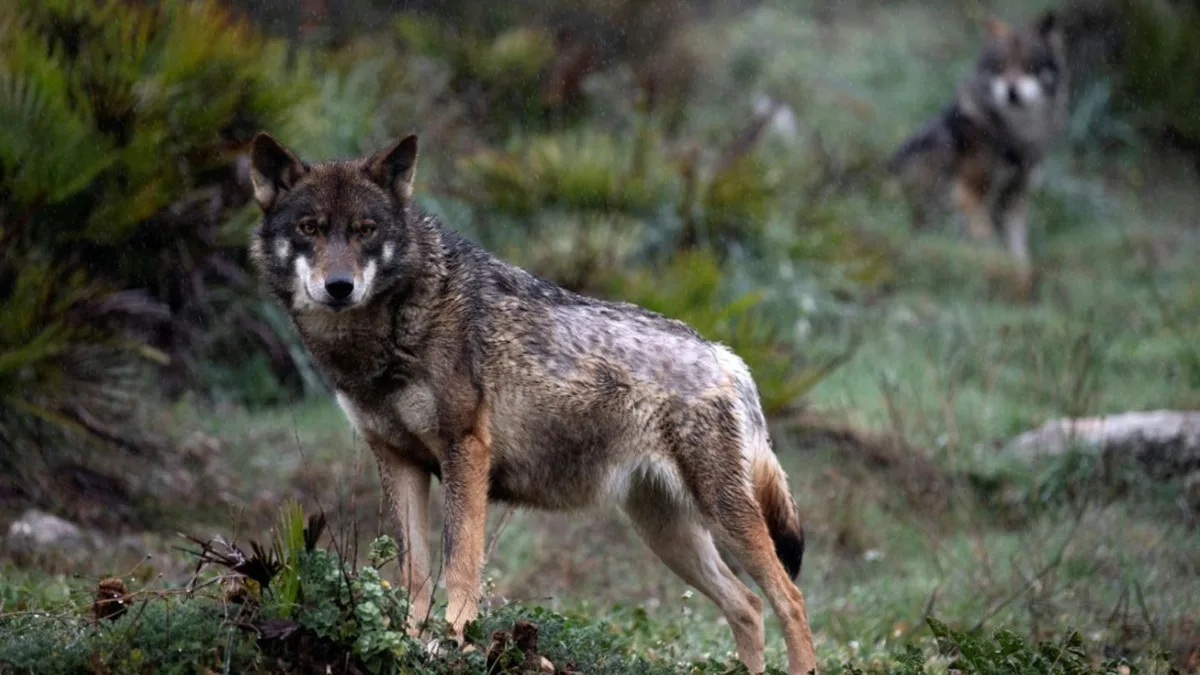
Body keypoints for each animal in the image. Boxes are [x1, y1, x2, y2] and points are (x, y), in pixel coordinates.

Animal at [246, 132, 817, 675]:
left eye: (365, 230)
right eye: (310, 228)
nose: (339, 287)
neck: (389, 330)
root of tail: (725, 355)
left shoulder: (465, 452)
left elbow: (459, 564)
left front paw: (453, 643)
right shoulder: (398, 460)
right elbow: (415, 575)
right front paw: (408, 642)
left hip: (723, 517)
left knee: (789, 599)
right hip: (667, 534)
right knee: (747, 605)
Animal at [887, 11, 1068, 280]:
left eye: (1029, 66)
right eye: (1001, 66)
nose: (1011, 92)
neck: (1016, 134)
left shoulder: (1016, 197)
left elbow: (1019, 249)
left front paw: (1021, 271)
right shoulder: (969, 192)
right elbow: (985, 237)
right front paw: (996, 264)